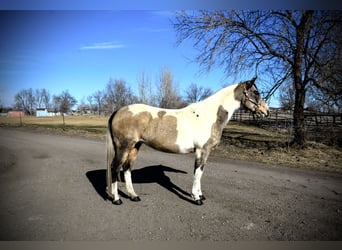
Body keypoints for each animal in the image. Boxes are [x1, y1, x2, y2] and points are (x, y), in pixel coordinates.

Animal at [105, 77, 268, 205]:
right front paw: (196, 198)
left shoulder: (204, 152)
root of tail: (118, 111)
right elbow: (198, 172)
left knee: (127, 168)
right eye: (256, 92)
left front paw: (200, 195)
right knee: (115, 168)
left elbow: (200, 171)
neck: (209, 115)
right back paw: (117, 199)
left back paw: (133, 196)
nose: (266, 111)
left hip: (134, 146)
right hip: (124, 147)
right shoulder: (202, 150)